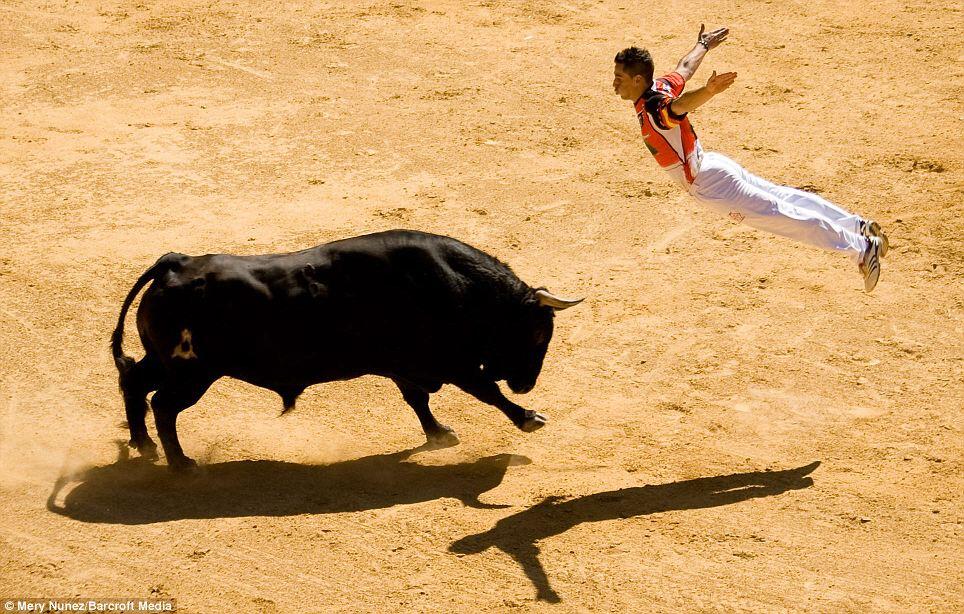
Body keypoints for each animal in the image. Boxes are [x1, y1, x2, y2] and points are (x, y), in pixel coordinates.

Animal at [113, 229, 580, 474]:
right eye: (540, 333)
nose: (525, 384)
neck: (455, 285)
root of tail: (174, 263)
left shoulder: (406, 365)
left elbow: (418, 400)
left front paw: (440, 434)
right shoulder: (454, 363)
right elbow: (485, 391)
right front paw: (529, 418)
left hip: (169, 364)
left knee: (134, 382)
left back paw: (145, 446)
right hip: (193, 373)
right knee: (163, 405)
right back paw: (181, 462)